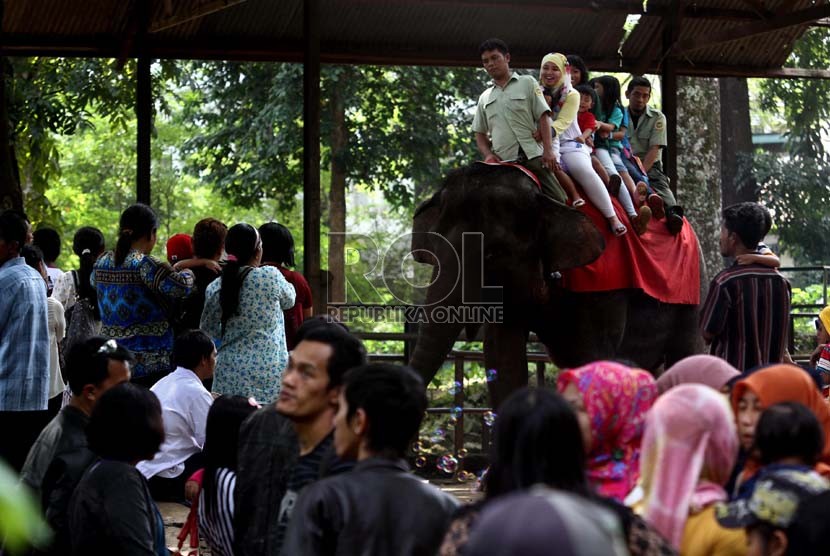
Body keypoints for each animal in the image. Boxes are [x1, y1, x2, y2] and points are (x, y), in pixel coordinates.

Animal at [408, 161, 704, 408]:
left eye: (493, 253)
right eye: (434, 245)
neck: (545, 195)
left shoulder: (603, 284)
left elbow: (592, 356)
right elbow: (503, 359)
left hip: (691, 296)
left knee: (686, 356)